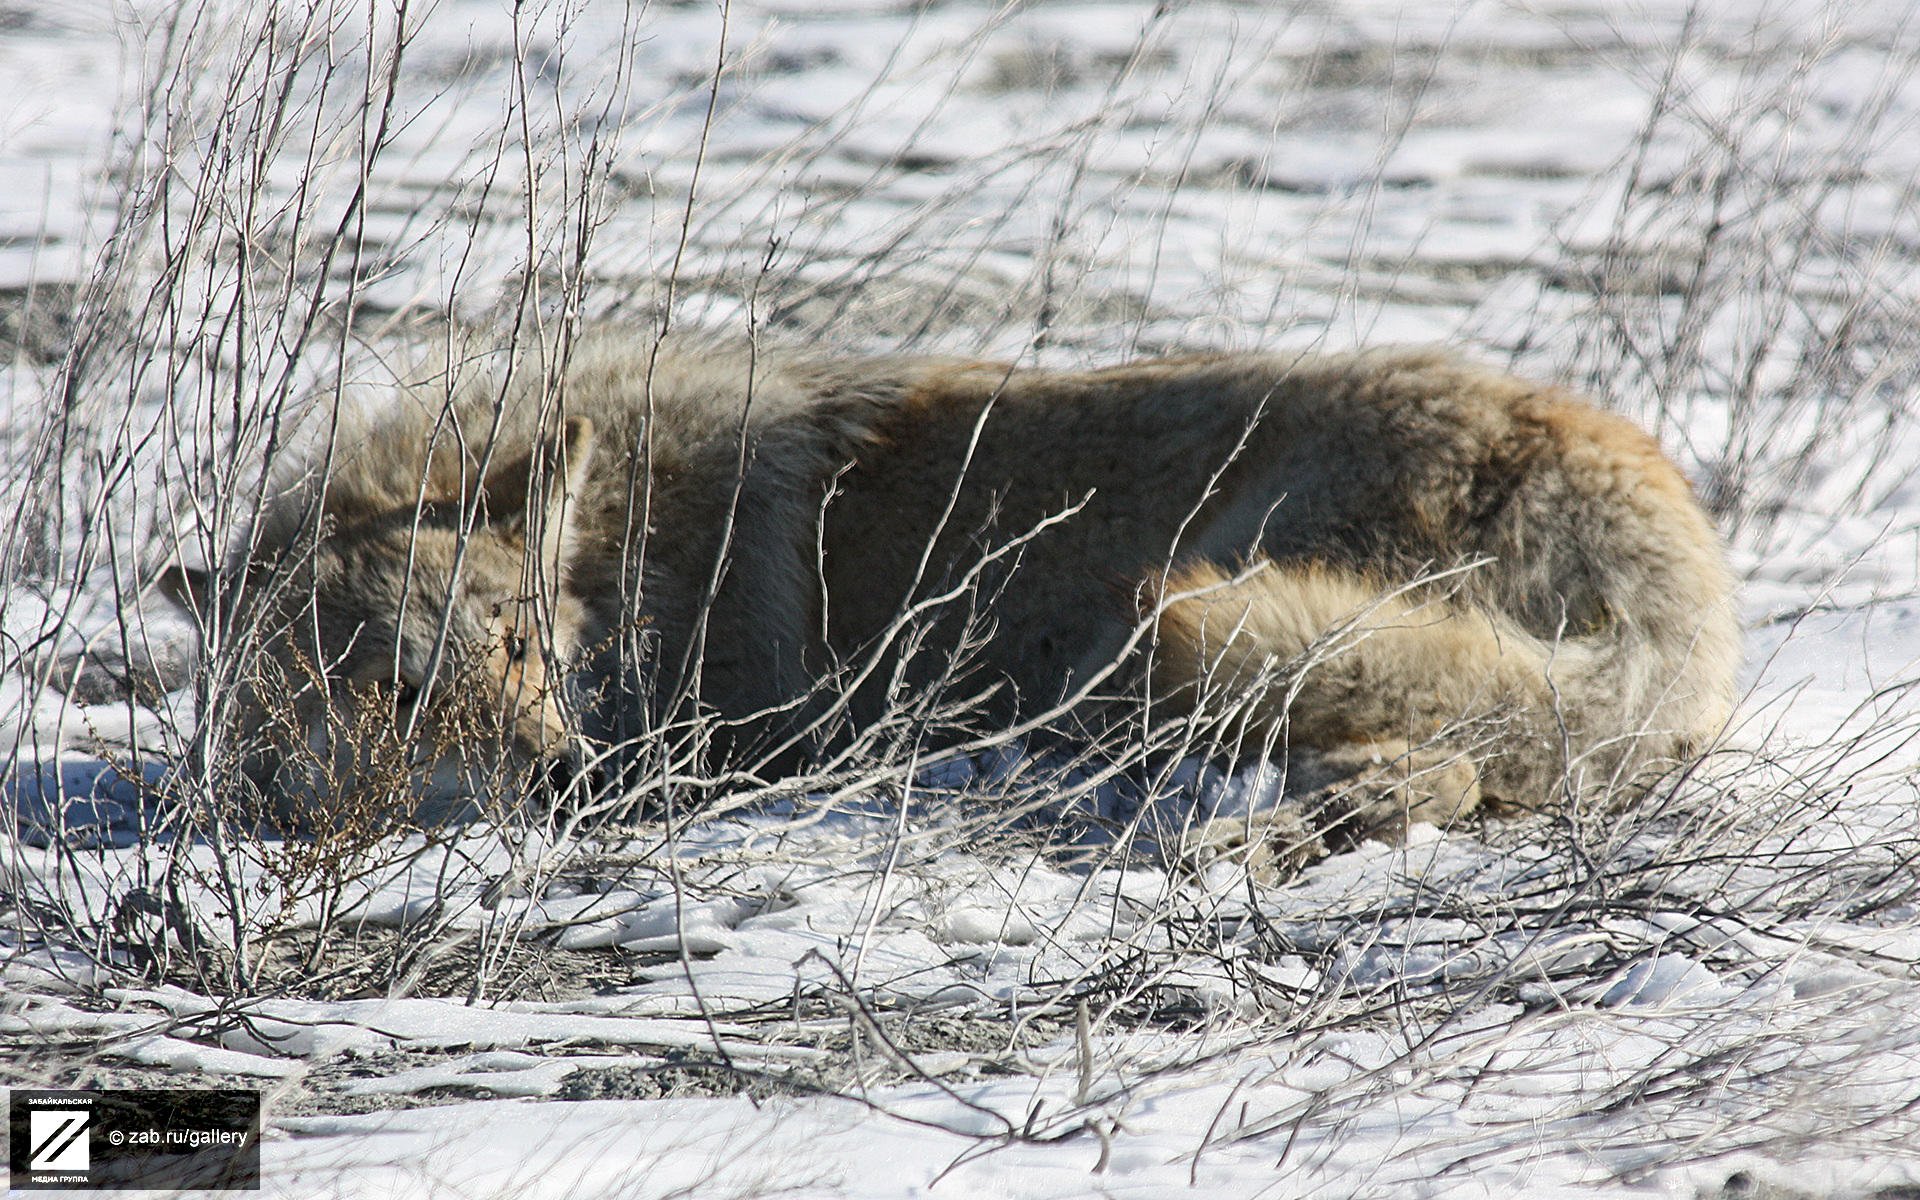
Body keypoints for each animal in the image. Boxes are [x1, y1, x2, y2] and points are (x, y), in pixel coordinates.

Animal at [161, 337, 1743, 856]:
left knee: (1452, 776)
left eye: (516, 650)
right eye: (391, 687)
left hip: (1218, 629)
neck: (631, 571)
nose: (564, 779)